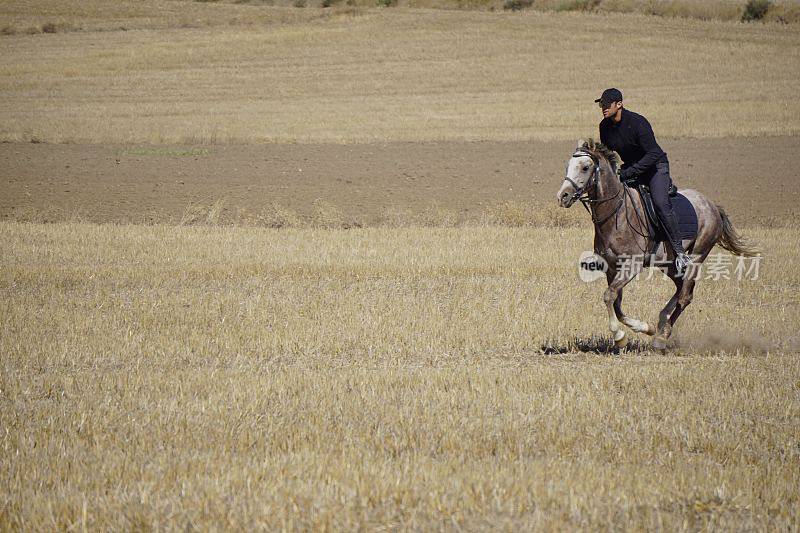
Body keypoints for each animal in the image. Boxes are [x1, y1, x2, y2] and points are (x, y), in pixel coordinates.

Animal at [556, 139, 756, 352]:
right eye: (567, 166)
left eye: (585, 167)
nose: (563, 196)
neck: (616, 213)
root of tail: (712, 206)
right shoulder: (611, 268)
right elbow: (616, 303)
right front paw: (644, 328)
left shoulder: (631, 265)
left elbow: (609, 296)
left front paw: (619, 337)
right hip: (668, 264)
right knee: (680, 288)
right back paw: (660, 323)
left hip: (696, 256)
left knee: (685, 296)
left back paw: (662, 336)